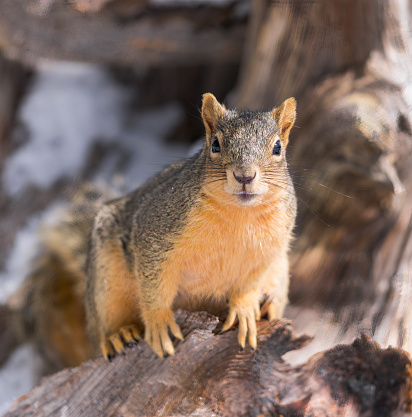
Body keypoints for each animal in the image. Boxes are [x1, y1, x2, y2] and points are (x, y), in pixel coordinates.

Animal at [0, 93, 298, 368]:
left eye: (277, 147)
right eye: (215, 144)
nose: (244, 176)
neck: (239, 214)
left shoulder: (268, 253)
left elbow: (247, 286)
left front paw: (245, 310)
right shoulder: (155, 234)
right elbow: (154, 285)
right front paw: (159, 322)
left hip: (281, 270)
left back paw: (267, 306)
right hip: (107, 281)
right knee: (104, 325)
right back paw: (117, 335)